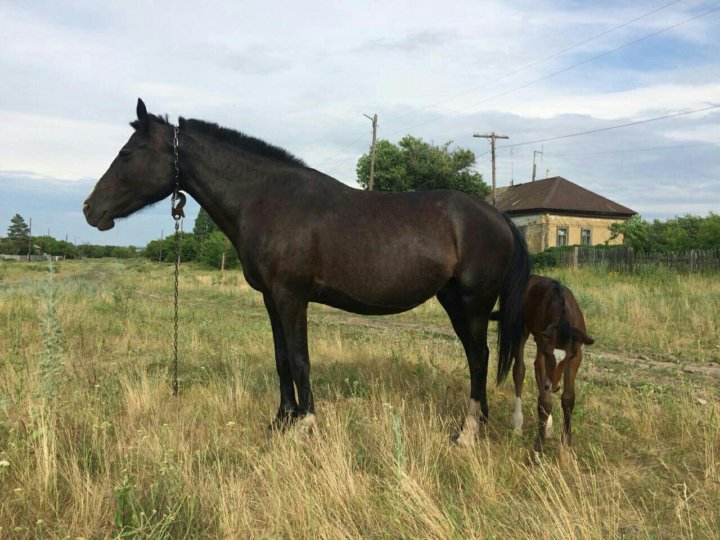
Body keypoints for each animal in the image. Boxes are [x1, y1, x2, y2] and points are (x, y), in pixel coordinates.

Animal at [84, 99, 532, 440]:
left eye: (127, 153)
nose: (90, 209)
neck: (267, 199)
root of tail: (497, 217)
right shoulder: (271, 298)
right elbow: (282, 358)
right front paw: (282, 420)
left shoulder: (291, 296)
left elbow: (300, 359)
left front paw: (307, 424)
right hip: (453, 300)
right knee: (477, 356)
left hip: (472, 304)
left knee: (479, 357)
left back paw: (468, 433)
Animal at [492, 274, 592, 452]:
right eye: (547, 354)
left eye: (568, 358)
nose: (553, 386)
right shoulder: (541, 350)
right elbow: (544, 401)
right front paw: (538, 446)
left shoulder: (576, 355)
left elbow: (568, 398)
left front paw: (566, 444)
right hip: (520, 330)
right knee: (519, 371)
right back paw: (518, 425)